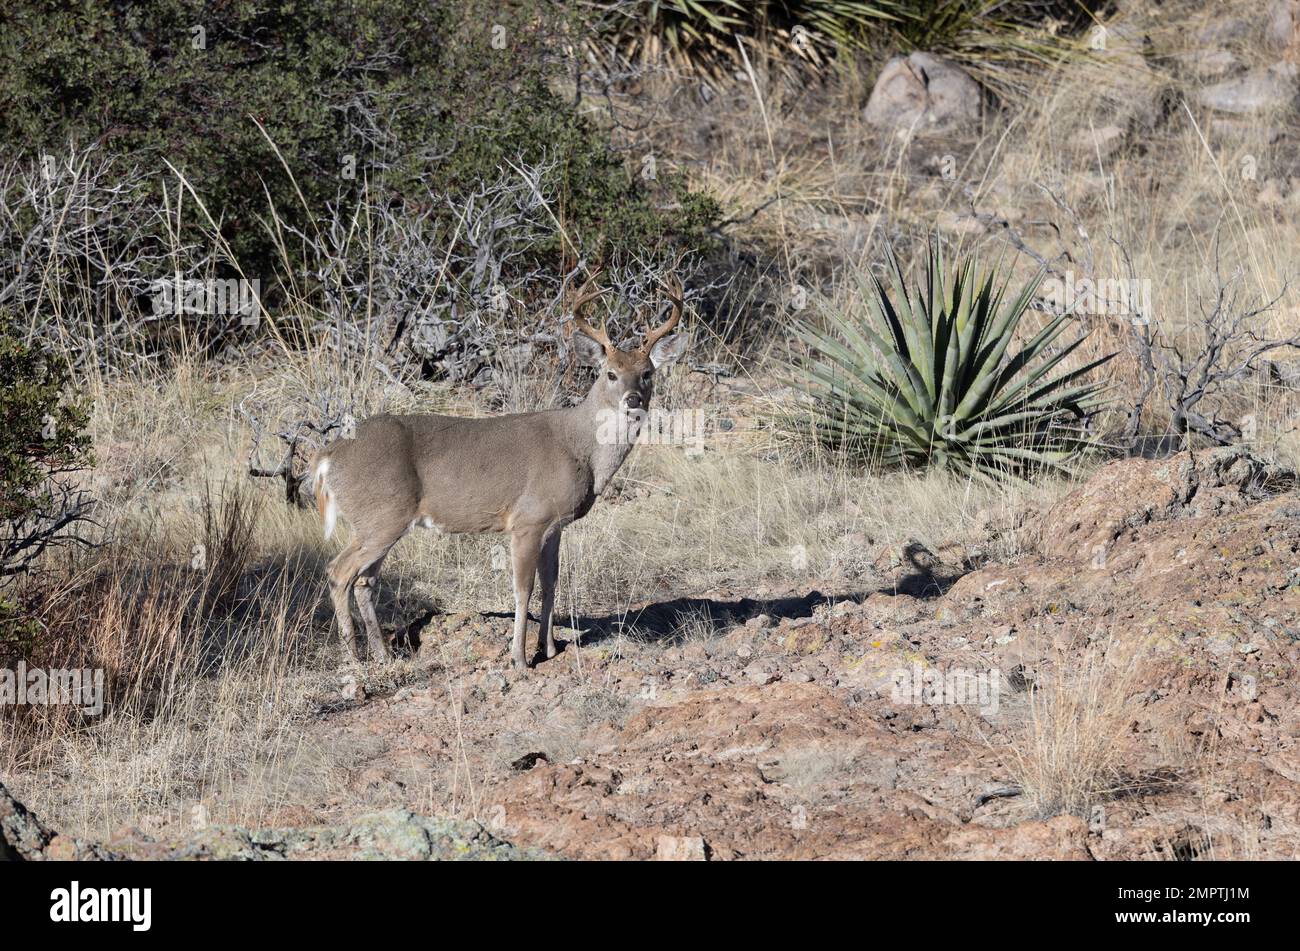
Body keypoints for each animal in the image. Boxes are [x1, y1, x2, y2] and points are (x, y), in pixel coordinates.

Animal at [310, 267, 691, 670]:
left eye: (647, 372)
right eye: (610, 373)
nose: (632, 399)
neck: (581, 449)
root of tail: (326, 457)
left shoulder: (554, 525)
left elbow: (552, 583)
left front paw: (549, 648)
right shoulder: (527, 519)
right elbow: (523, 588)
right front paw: (519, 659)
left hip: (379, 522)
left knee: (365, 581)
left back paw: (382, 655)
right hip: (382, 516)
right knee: (339, 572)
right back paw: (353, 656)